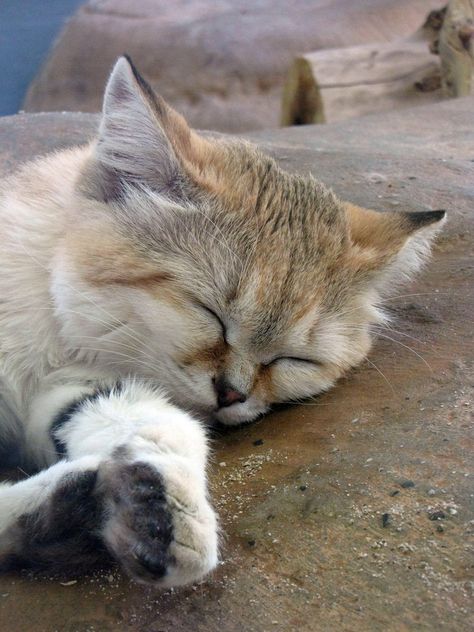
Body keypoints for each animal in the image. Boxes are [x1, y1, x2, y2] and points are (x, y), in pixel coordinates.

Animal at [0, 56, 444, 584]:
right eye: (209, 313)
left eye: (295, 359)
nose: (231, 395)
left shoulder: (73, 385)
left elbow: (149, 419)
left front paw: (161, 500)